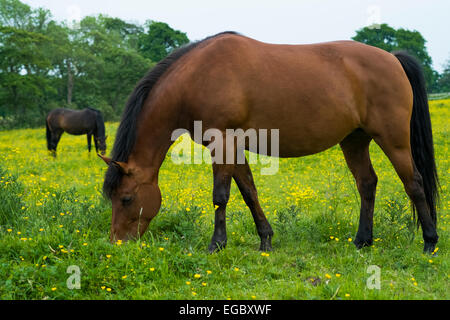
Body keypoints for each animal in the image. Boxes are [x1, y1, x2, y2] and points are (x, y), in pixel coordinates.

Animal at [99, 31, 440, 254]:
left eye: (126, 198)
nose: (118, 243)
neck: (197, 77)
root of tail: (392, 59)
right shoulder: (234, 147)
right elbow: (249, 192)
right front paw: (265, 240)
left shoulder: (222, 143)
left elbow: (221, 195)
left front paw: (216, 245)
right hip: (354, 140)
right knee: (367, 183)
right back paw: (362, 241)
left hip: (393, 139)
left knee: (414, 183)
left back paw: (429, 242)